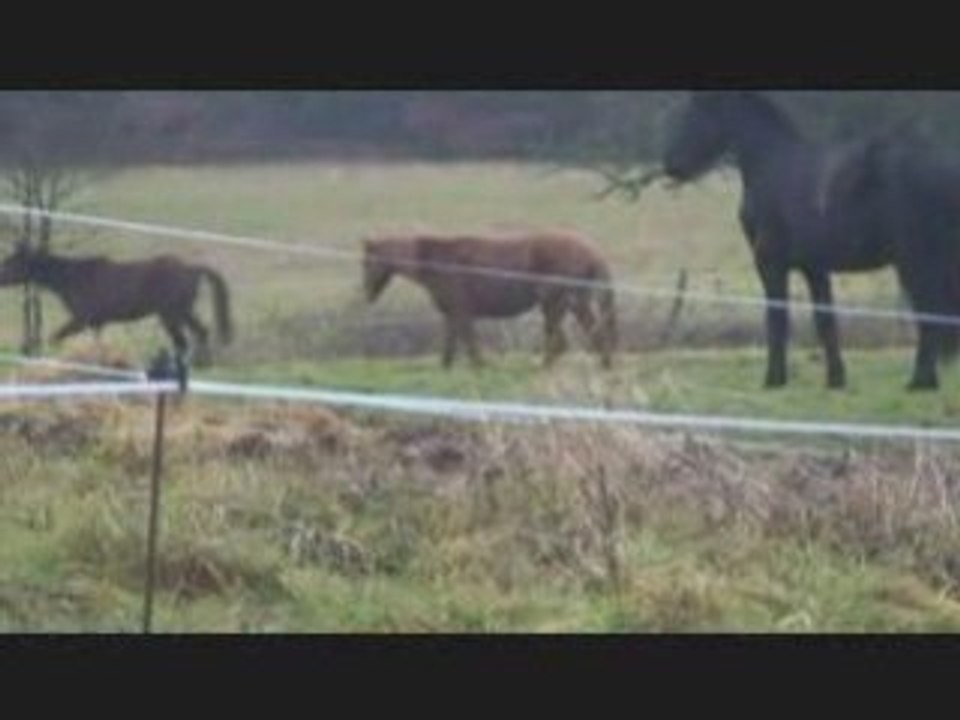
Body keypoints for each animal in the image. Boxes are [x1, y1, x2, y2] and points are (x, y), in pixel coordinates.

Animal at [0, 245, 234, 366]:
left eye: (12, 262)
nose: (0, 277)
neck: (73, 278)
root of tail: (192, 269)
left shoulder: (81, 320)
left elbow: (56, 336)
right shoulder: (96, 323)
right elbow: (97, 347)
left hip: (171, 315)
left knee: (186, 340)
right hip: (181, 312)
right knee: (199, 333)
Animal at [362, 231, 618, 369]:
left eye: (365, 263)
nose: (367, 294)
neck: (436, 261)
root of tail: (592, 251)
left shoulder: (461, 311)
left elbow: (469, 342)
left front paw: (480, 367)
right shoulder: (452, 314)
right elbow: (450, 347)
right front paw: (447, 370)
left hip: (555, 303)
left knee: (561, 341)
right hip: (573, 303)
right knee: (591, 333)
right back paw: (605, 365)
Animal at [662, 90, 960, 391]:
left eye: (696, 113)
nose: (672, 165)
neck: (772, 166)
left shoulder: (770, 265)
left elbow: (777, 319)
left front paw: (774, 380)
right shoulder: (814, 268)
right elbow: (825, 320)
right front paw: (836, 379)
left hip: (916, 261)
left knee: (930, 312)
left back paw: (921, 381)